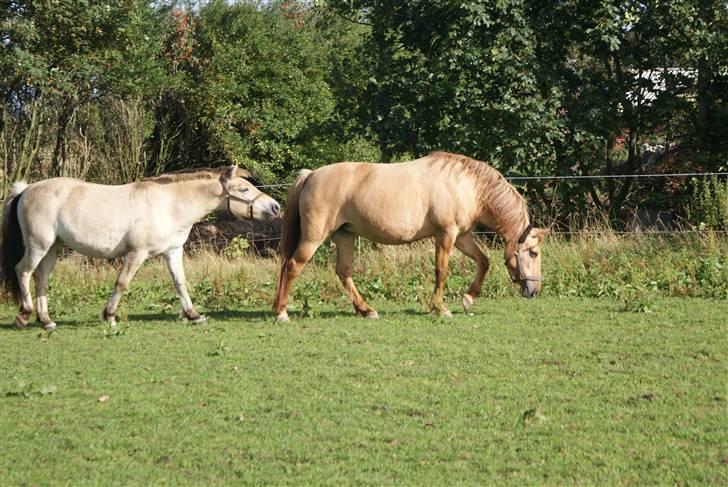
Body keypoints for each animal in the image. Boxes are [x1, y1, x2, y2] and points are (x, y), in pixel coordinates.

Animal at [0, 166, 280, 330]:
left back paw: (46, 320)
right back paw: (24, 315)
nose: (275, 207)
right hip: (39, 245)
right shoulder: (136, 254)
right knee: (23, 271)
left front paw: (194, 315)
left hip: (53, 248)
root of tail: (27, 189)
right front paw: (110, 316)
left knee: (41, 278)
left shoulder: (173, 252)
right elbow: (122, 283)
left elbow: (180, 283)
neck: (169, 205)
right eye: (243, 189)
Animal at [272, 151, 544, 322]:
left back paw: (366, 310)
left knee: (344, 272)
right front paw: (441, 308)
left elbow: (483, 261)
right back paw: (282, 313)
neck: (466, 185)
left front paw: (468, 298)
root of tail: (311, 175)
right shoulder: (446, 235)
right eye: (533, 253)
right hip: (314, 237)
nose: (534, 291)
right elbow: (441, 271)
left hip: (344, 237)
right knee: (293, 266)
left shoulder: (461, 236)